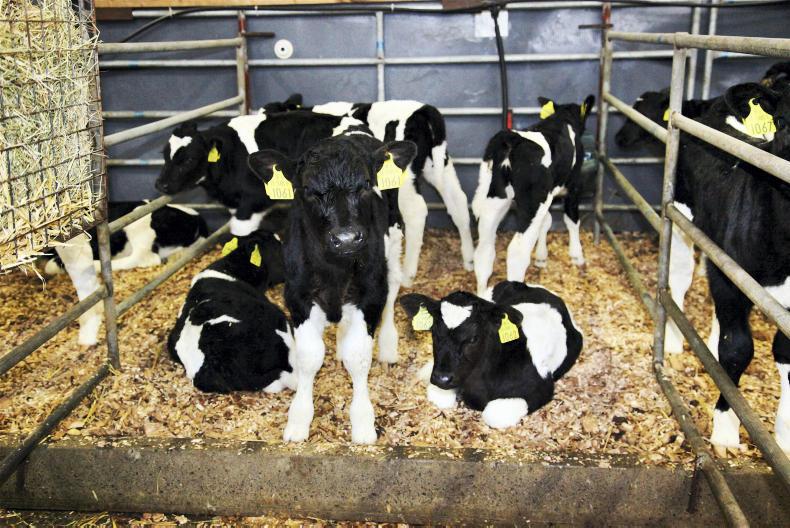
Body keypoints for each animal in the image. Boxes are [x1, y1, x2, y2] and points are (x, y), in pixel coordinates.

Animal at [247, 126, 417, 444]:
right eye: (307, 191)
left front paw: (363, 422)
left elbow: (359, 356)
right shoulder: (298, 295)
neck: (335, 270)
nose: (347, 239)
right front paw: (298, 420)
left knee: (392, 292)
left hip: (394, 240)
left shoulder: (370, 292)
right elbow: (309, 356)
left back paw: (388, 346)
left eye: (365, 185)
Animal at [265, 96, 474, 286]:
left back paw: (408, 275)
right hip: (439, 165)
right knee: (458, 202)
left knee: (416, 212)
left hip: (405, 179)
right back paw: (469, 260)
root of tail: (423, 109)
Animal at [399, 281, 582, 429]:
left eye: (473, 338)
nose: (441, 378)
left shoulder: (541, 388)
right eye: (434, 333)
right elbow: (438, 396)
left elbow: (492, 415)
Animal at [472, 95, 595, 296]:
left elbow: (546, 222)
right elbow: (572, 220)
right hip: (531, 204)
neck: (563, 118)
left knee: (484, 250)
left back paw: (482, 294)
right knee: (517, 251)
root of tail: (512, 137)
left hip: (495, 199)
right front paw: (577, 256)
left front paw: (541, 257)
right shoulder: (573, 186)